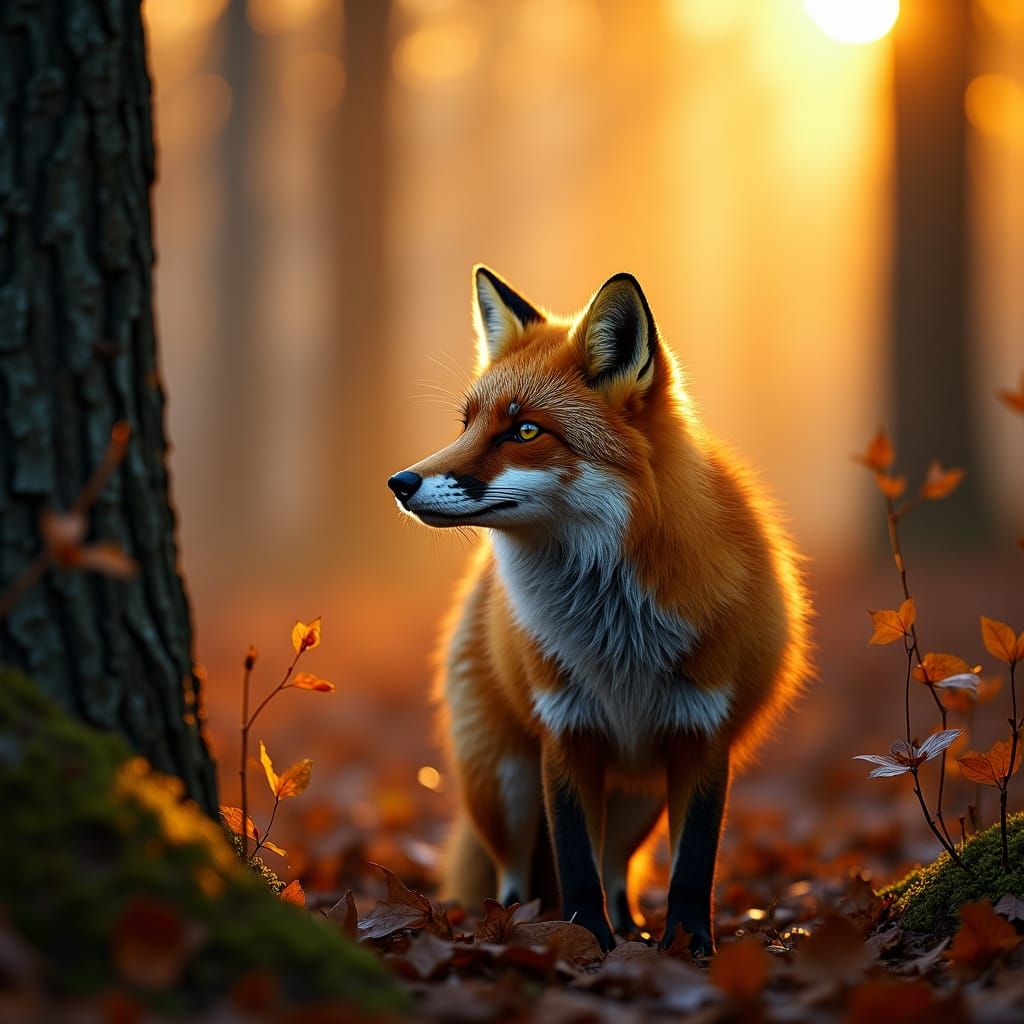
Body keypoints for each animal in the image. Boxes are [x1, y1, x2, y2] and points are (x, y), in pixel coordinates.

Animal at [388, 266, 812, 954]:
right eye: (467, 424)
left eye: (525, 431)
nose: (399, 483)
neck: (618, 633)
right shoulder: (566, 729)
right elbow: (573, 860)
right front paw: (585, 938)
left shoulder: (702, 732)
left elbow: (692, 865)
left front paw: (689, 945)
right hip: (503, 783)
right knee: (517, 872)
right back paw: (514, 927)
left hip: (637, 795)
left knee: (617, 863)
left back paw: (632, 928)